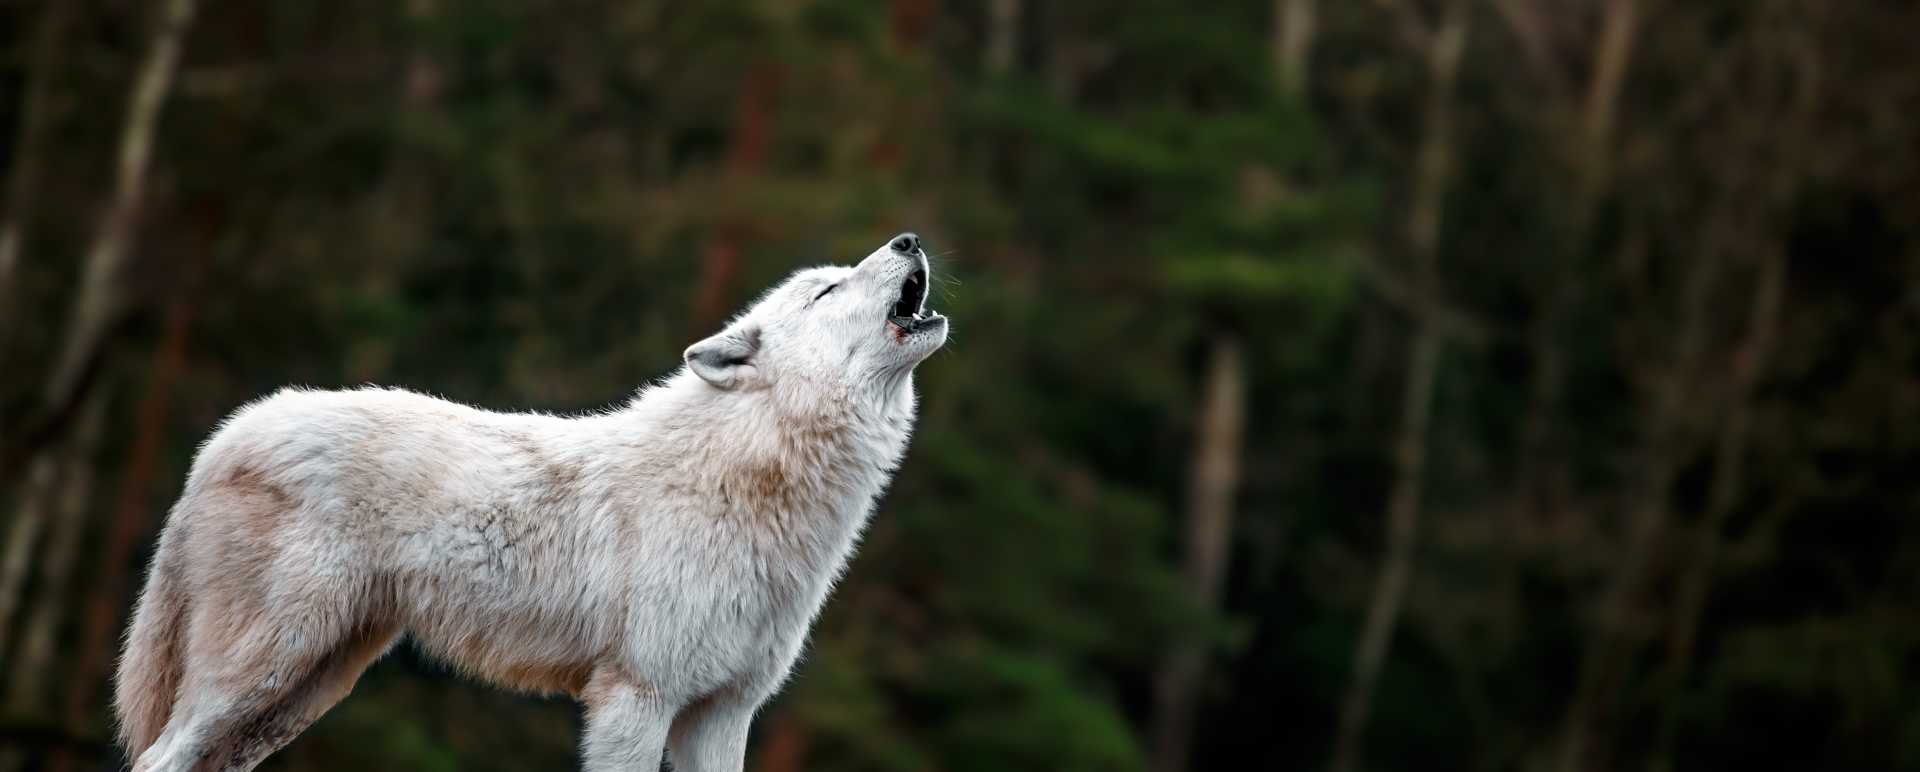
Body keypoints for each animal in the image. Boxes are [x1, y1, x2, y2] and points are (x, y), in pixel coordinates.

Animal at [112, 234, 948, 771]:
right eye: (828, 289)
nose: (909, 238)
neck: (749, 478)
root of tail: (229, 433)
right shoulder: (635, 698)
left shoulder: (723, 713)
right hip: (261, 670)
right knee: (157, 759)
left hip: (304, 690)